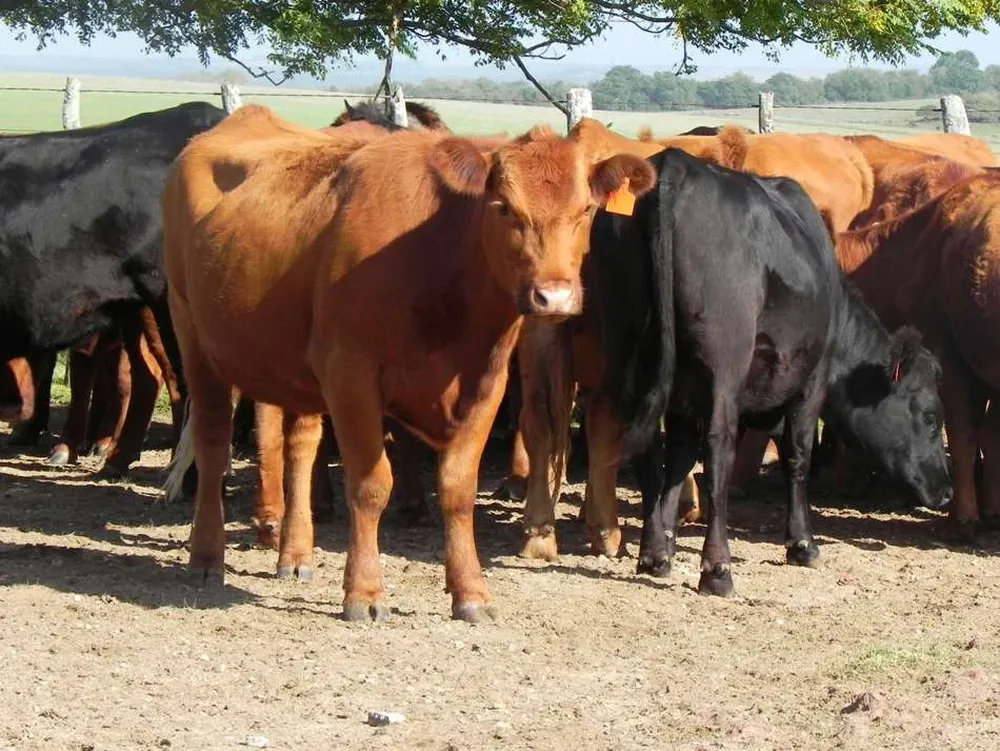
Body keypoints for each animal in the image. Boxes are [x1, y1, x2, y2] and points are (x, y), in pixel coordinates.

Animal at [160, 104, 656, 621]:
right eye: (503, 207)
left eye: (586, 210)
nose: (553, 297)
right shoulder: (351, 374)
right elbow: (371, 484)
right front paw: (363, 593)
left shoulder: (486, 383)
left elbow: (458, 489)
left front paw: (470, 593)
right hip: (195, 338)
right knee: (213, 445)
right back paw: (206, 558)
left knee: (300, 447)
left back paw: (294, 554)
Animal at [590, 146, 951, 595]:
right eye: (931, 417)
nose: (946, 491)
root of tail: (676, 163)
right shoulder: (811, 383)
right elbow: (797, 456)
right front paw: (803, 544)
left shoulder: (682, 396)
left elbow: (678, 459)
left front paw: (661, 550)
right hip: (723, 363)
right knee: (718, 452)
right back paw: (718, 570)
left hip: (627, 349)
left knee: (647, 446)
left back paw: (657, 552)